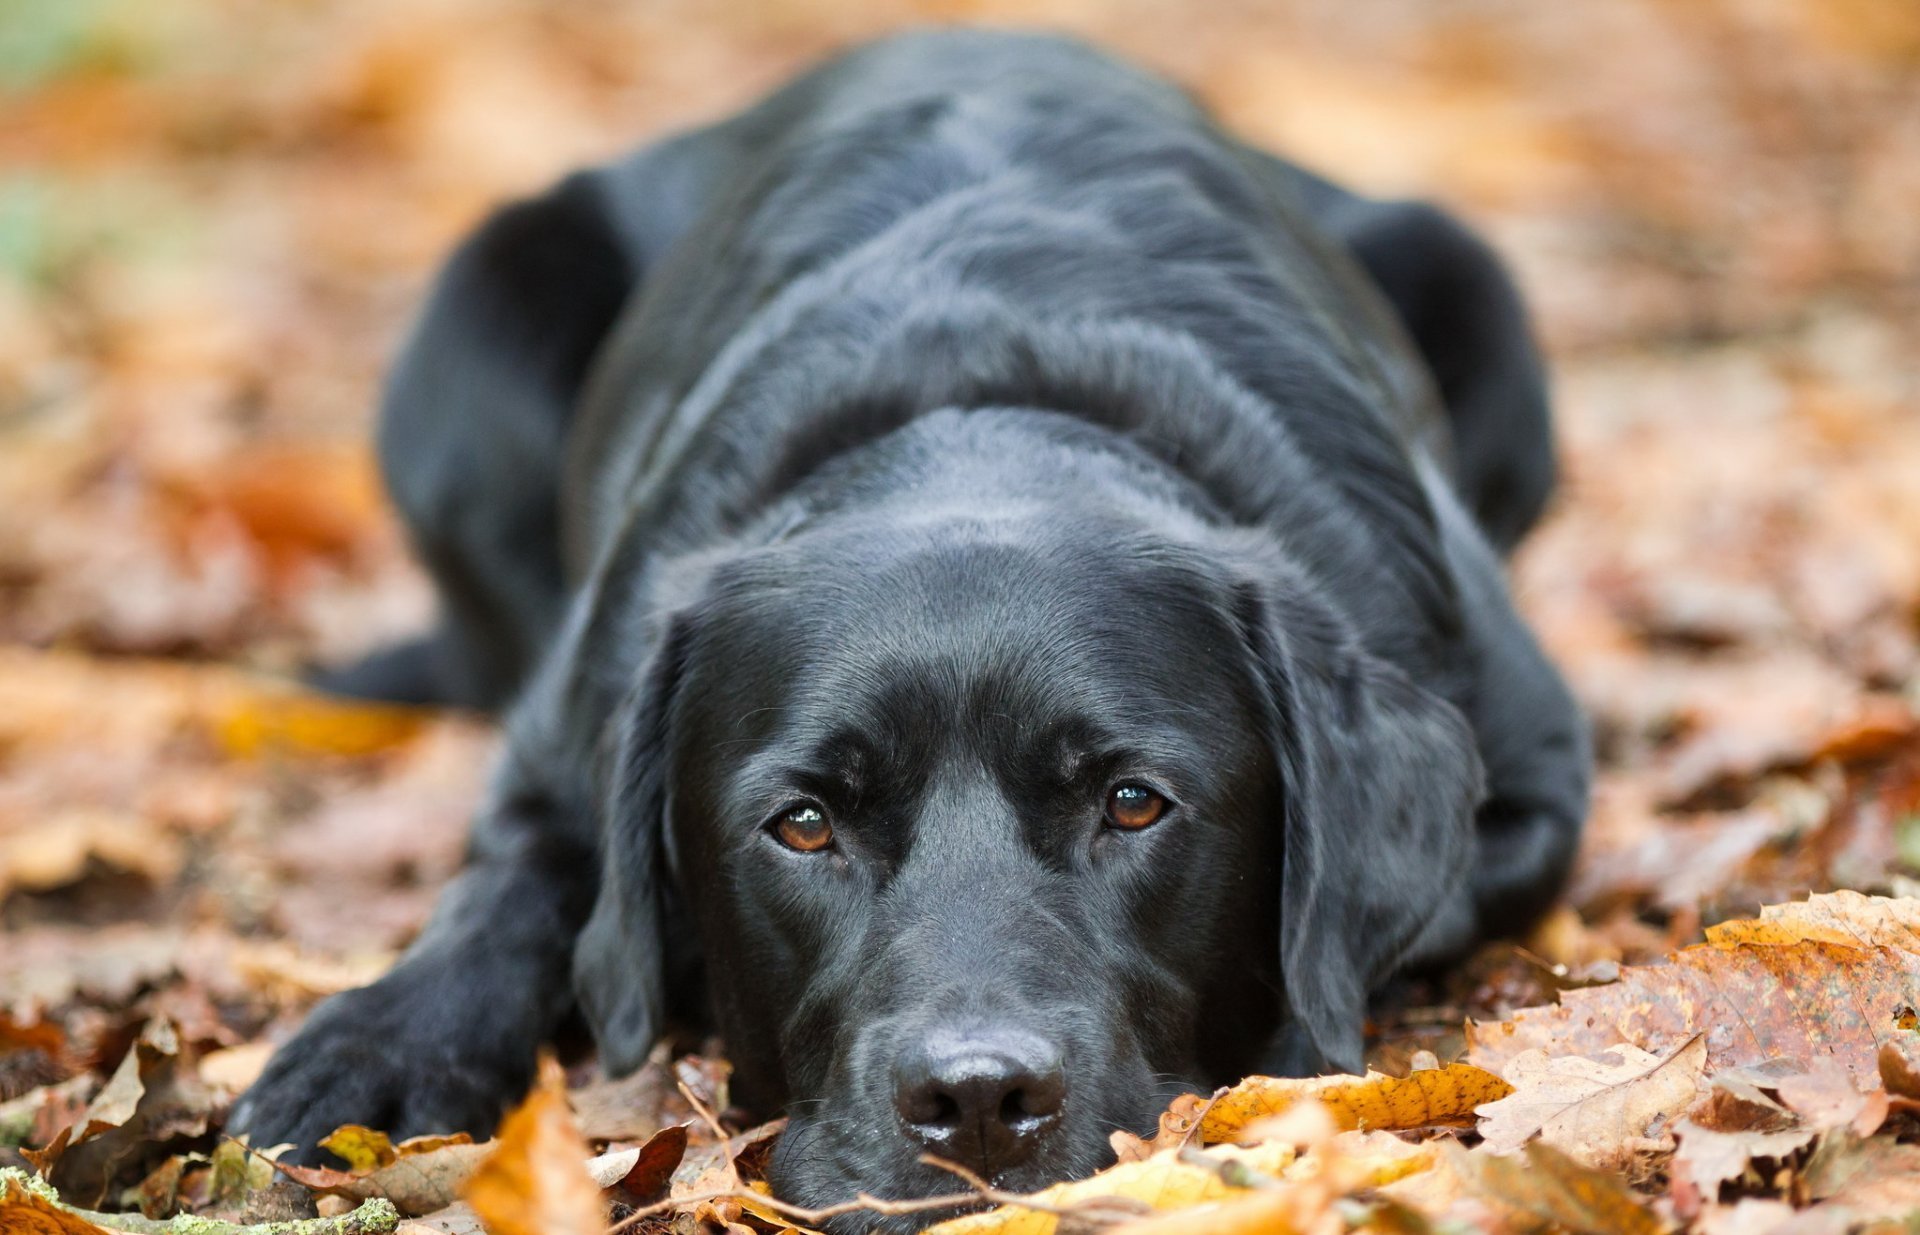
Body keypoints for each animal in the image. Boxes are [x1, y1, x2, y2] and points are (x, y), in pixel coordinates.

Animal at [236, 29, 1589, 1229]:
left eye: (1134, 803)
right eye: (802, 823)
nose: (977, 1100)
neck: (985, 409)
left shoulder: (1528, 776)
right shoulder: (561, 741)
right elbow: (510, 888)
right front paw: (380, 1046)